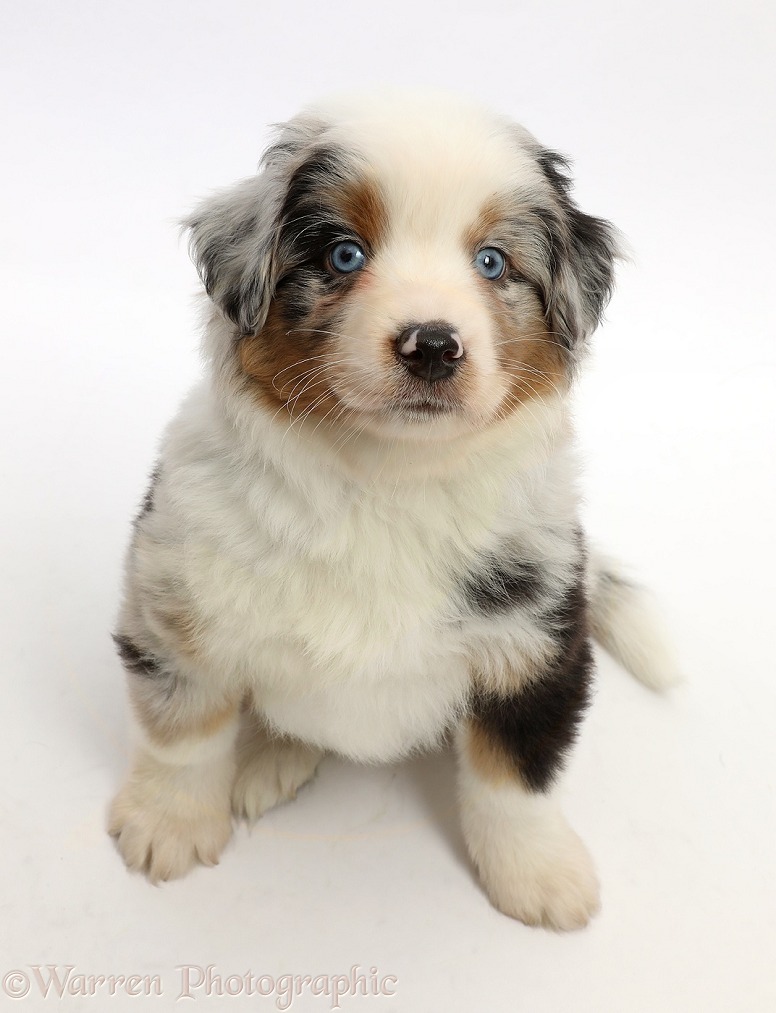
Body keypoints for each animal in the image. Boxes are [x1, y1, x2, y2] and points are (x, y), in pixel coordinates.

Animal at [106, 91, 676, 927]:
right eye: (344, 255)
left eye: (492, 263)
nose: (432, 344)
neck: (384, 481)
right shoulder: (175, 597)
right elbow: (186, 728)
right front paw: (168, 822)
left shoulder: (538, 638)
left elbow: (516, 772)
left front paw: (539, 872)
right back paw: (271, 757)